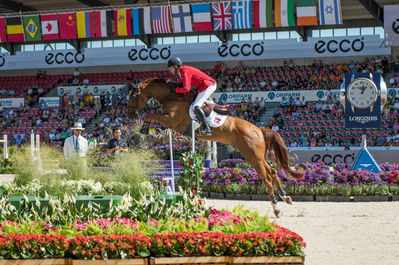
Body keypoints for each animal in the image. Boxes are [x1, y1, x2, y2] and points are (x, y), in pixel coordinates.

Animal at [128, 77, 304, 217]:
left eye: (133, 96)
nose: (130, 114)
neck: (171, 96)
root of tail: (259, 130)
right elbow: (153, 117)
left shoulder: (171, 120)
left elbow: (150, 114)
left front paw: (143, 128)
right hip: (256, 157)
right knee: (273, 171)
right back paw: (285, 197)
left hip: (253, 157)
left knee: (267, 178)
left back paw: (276, 208)